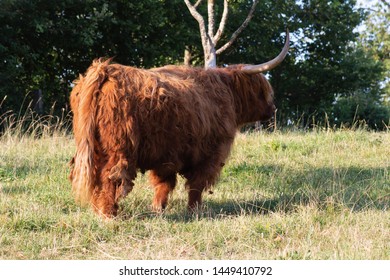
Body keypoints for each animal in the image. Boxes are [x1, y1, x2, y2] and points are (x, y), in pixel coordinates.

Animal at [71, 32, 290, 217]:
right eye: (263, 90)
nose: (273, 109)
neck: (227, 93)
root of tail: (106, 69)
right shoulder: (211, 154)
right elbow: (196, 184)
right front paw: (195, 210)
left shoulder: (166, 155)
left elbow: (164, 184)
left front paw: (158, 209)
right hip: (119, 146)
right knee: (112, 175)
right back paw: (109, 214)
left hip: (93, 144)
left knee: (95, 175)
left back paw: (97, 208)